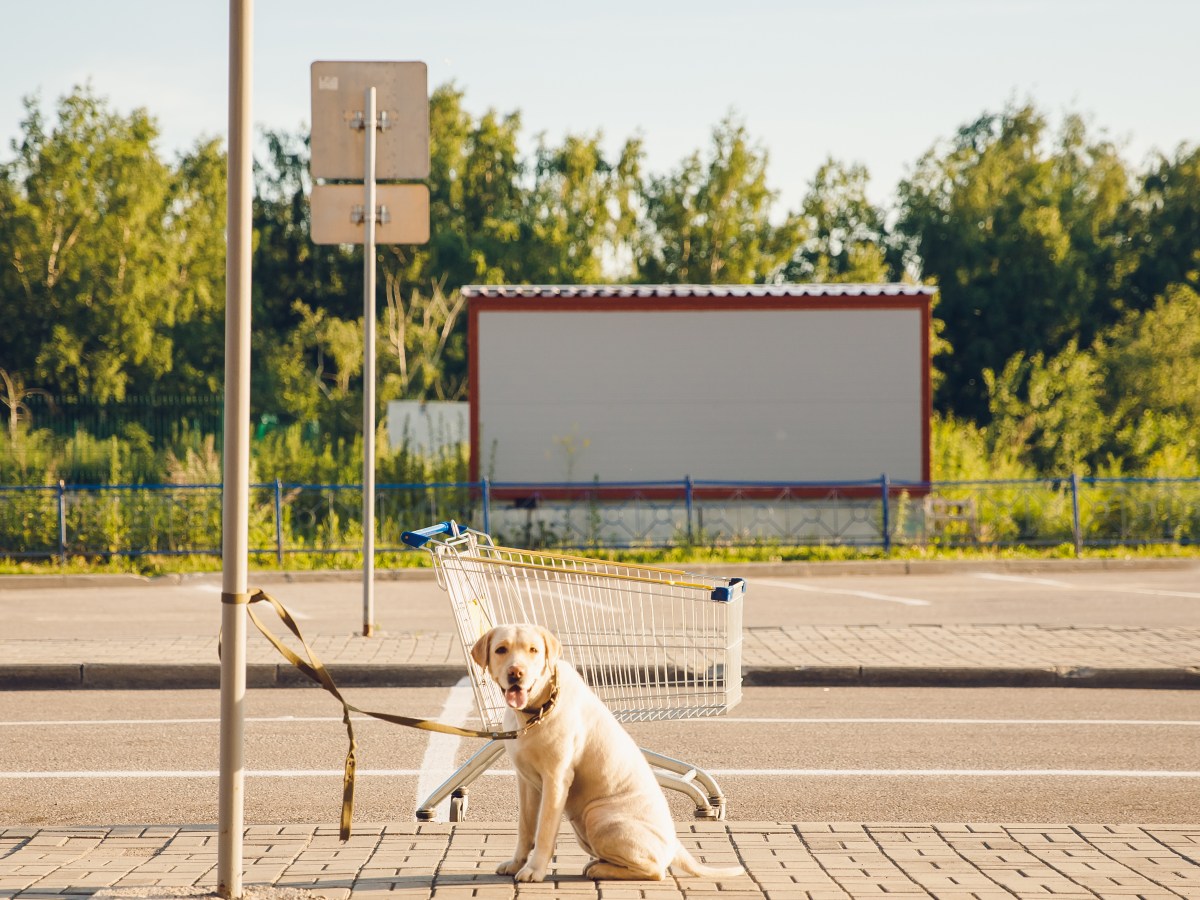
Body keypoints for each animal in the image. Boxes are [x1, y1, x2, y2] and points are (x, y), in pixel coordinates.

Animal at [468, 624, 739, 883]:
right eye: (501, 649)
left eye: (533, 650)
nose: (516, 673)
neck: (536, 712)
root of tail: (675, 841)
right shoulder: (525, 782)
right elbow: (525, 829)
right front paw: (516, 864)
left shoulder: (556, 780)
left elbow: (544, 832)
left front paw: (534, 870)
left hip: (596, 815)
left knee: (656, 870)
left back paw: (600, 869)